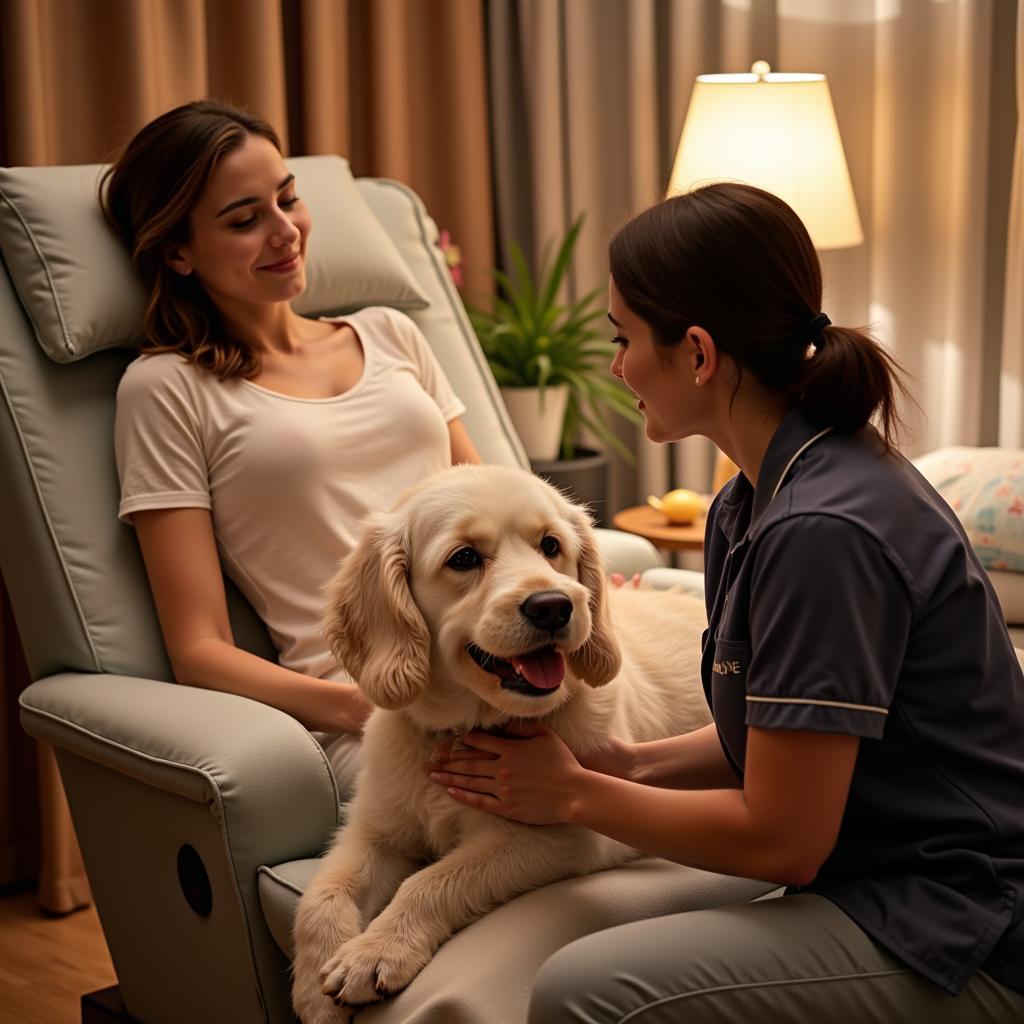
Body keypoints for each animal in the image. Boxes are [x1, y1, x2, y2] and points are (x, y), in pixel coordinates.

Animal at [292, 466, 708, 1024]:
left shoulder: (559, 836)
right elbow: (319, 896)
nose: (554, 607)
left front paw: (376, 951)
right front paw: (316, 995)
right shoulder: (373, 830)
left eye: (551, 545)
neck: (462, 729)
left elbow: (431, 880)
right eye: (464, 558)